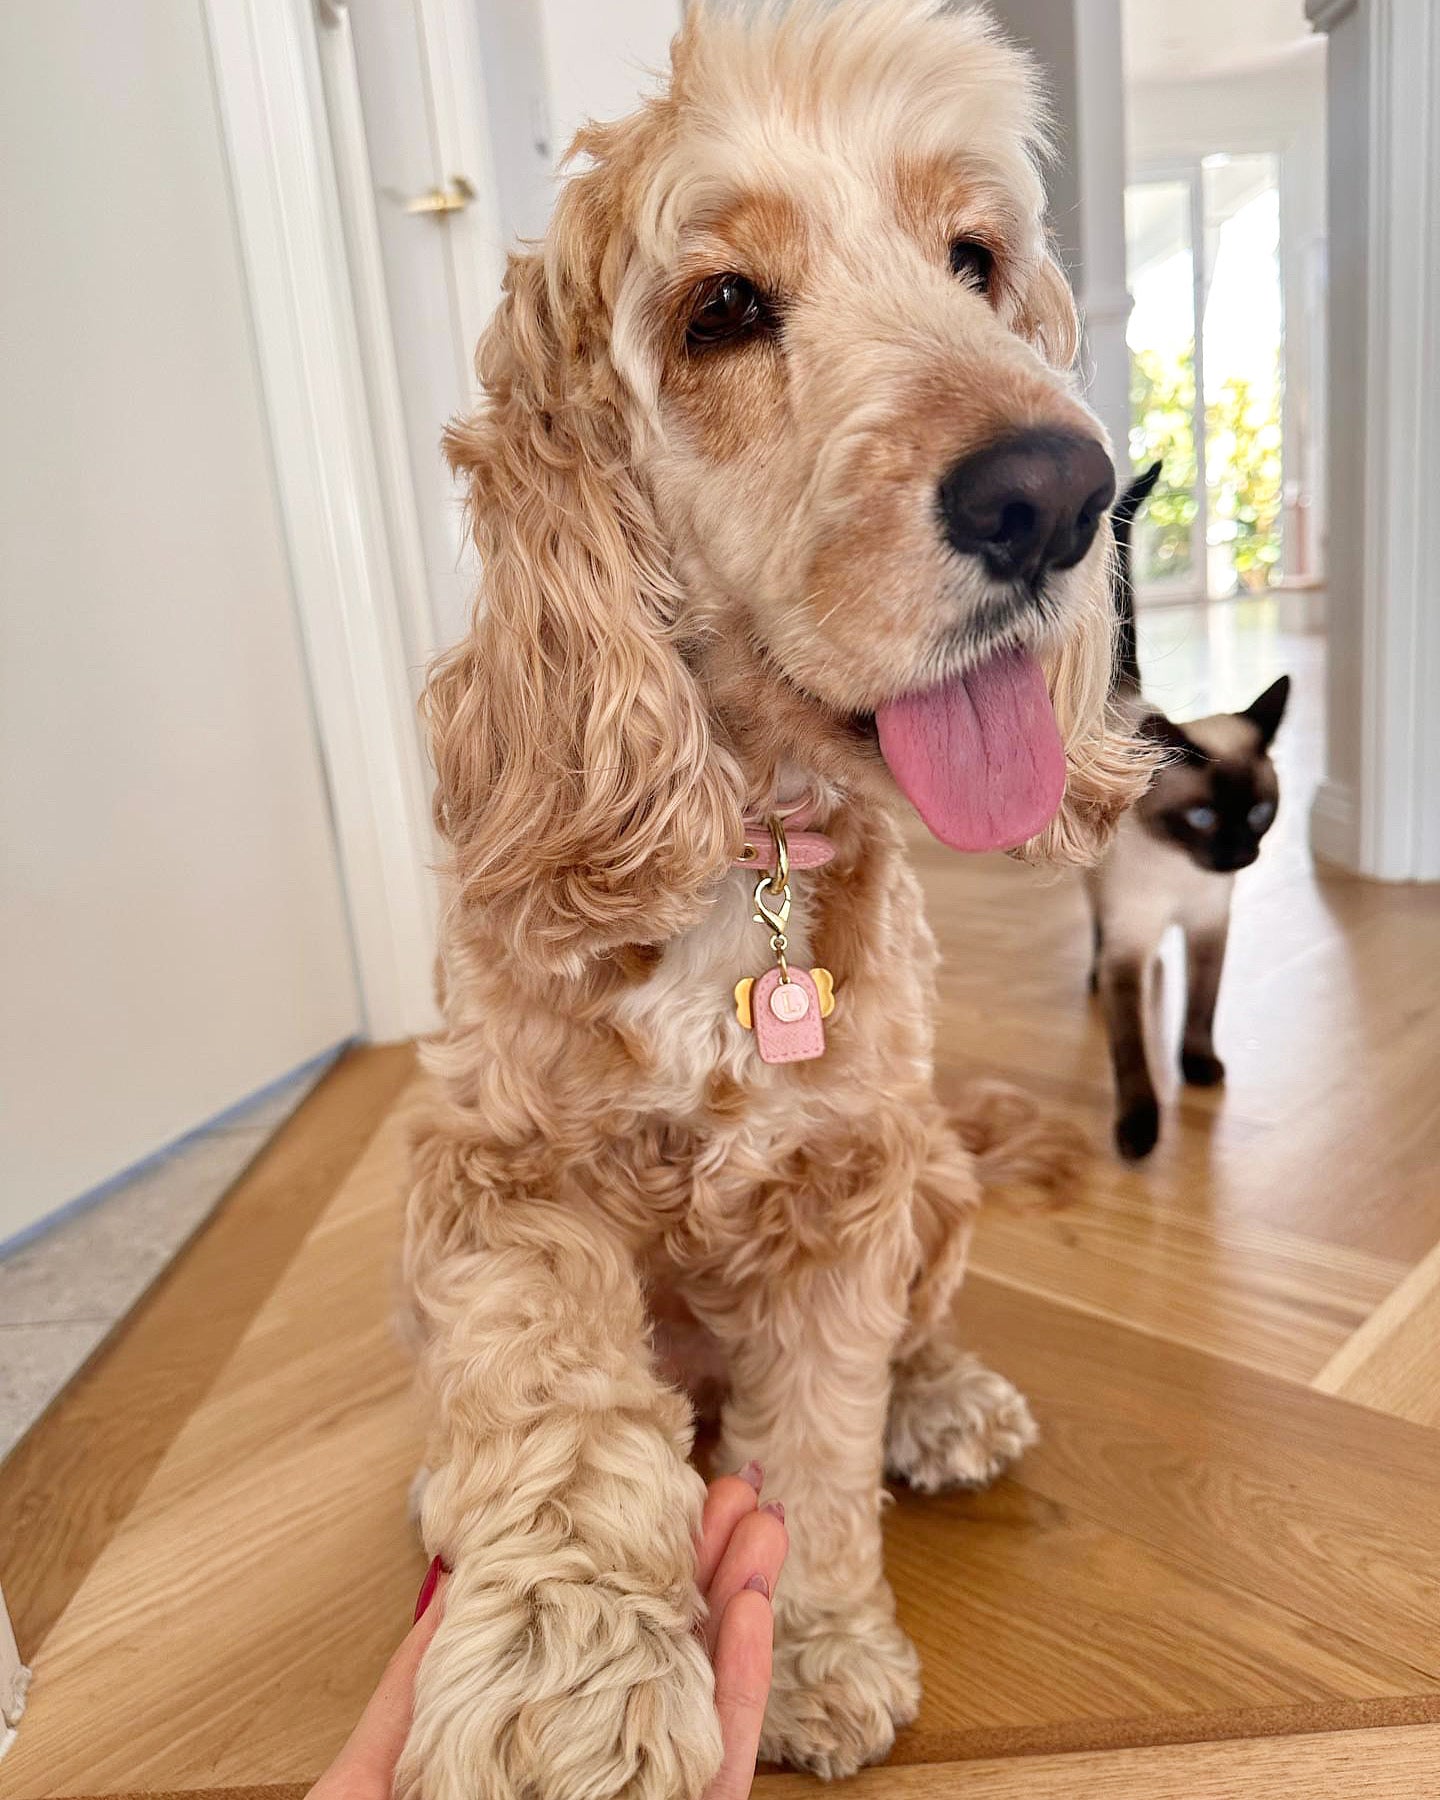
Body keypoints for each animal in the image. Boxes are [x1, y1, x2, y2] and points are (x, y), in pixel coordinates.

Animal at [396, 7, 1144, 1792]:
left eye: (974, 260)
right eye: (721, 310)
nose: (1059, 491)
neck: (749, 862)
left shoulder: (848, 1190)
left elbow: (812, 1449)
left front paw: (810, 1659)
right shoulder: (496, 1172)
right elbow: (556, 1411)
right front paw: (565, 1689)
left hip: (935, 1180)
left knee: (917, 1336)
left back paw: (945, 1405)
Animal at [1094, 464, 1296, 1159]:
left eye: (1260, 813)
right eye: (1204, 819)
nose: (1241, 855)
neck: (1179, 871)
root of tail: (1128, 697)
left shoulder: (1211, 926)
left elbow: (1200, 1011)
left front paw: (1200, 1068)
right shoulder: (1128, 943)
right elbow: (1130, 1051)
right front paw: (1138, 1132)